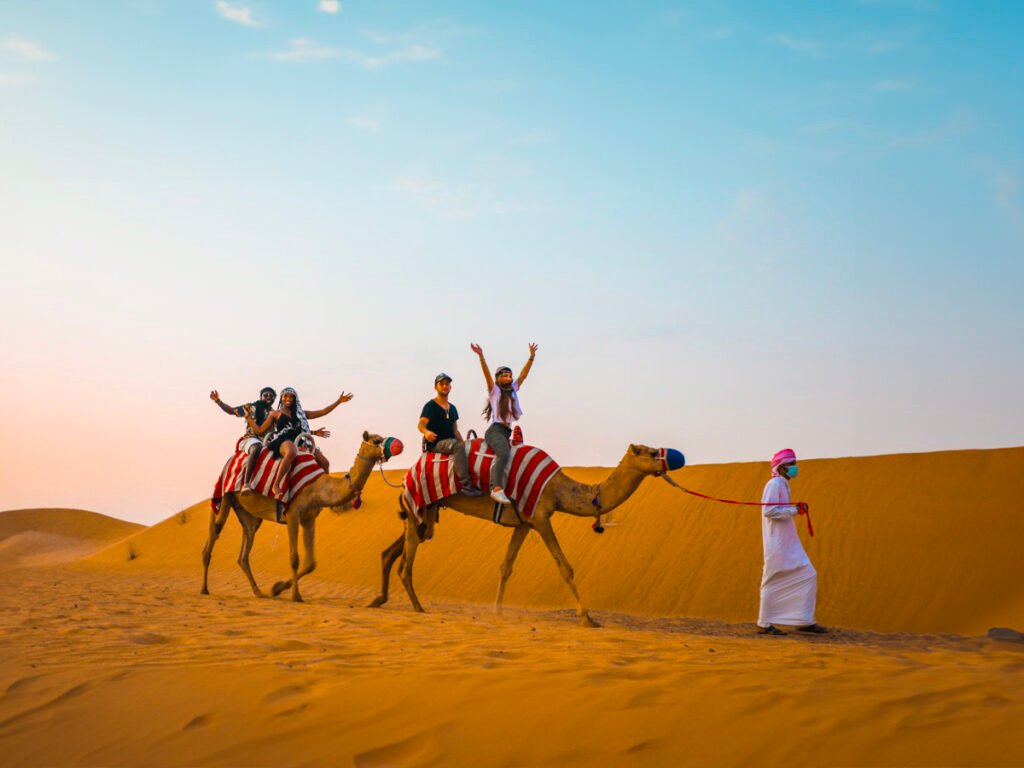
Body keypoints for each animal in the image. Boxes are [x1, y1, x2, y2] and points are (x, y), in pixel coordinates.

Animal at [199, 430, 391, 606]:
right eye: (376, 440)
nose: (389, 449)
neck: (317, 487)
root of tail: (231, 460)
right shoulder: (293, 514)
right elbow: (294, 559)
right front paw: (295, 596)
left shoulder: (309, 519)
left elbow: (311, 563)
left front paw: (276, 588)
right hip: (226, 494)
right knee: (215, 530)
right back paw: (204, 588)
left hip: (249, 515)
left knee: (244, 551)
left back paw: (258, 592)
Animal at [372, 442, 684, 626]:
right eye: (650, 452)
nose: (675, 457)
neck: (560, 490)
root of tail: (406, 476)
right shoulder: (541, 518)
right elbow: (564, 566)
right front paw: (587, 617)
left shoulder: (524, 523)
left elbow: (506, 566)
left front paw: (497, 611)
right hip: (421, 504)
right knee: (405, 563)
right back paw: (418, 608)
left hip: (424, 514)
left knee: (391, 551)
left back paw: (378, 600)